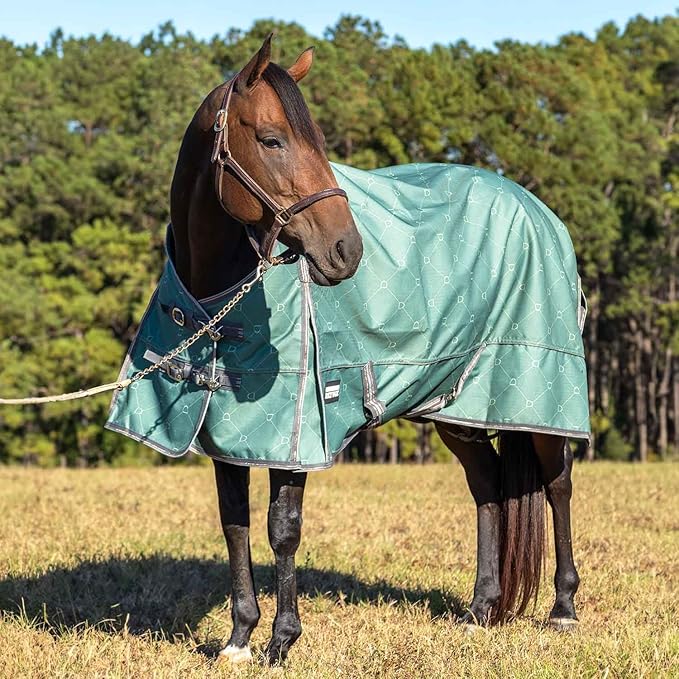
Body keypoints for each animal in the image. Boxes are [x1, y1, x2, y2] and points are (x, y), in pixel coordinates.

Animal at [166, 35, 581, 664]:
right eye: (272, 139)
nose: (346, 250)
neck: (221, 294)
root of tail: (539, 211)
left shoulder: (298, 432)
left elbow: (282, 527)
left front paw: (282, 641)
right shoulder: (228, 434)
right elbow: (234, 523)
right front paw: (239, 638)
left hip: (538, 394)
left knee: (557, 483)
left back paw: (563, 608)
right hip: (457, 405)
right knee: (487, 487)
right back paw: (481, 610)